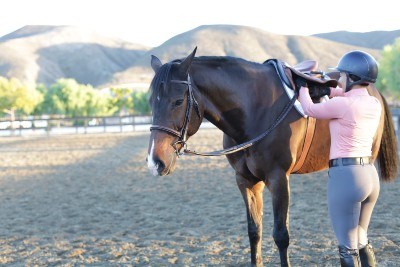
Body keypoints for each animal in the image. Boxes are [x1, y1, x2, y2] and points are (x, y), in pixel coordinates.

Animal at [145, 48, 398, 267]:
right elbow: (254, 230)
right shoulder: (245, 180)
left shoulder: (278, 179)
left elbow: (281, 235)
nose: (155, 162)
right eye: (150, 102)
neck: (254, 109)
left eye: (178, 101)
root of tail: (373, 91)